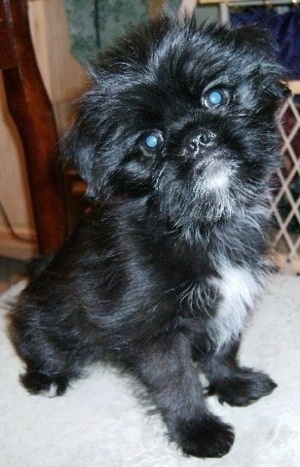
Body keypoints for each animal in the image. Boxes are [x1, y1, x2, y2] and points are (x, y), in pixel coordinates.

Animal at [8, 15, 286, 460]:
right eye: (151, 142)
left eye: (216, 97)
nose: (197, 137)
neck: (201, 225)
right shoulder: (154, 330)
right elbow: (177, 380)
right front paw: (198, 431)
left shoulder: (232, 298)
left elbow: (224, 347)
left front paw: (233, 384)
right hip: (43, 320)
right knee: (39, 347)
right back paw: (47, 378)